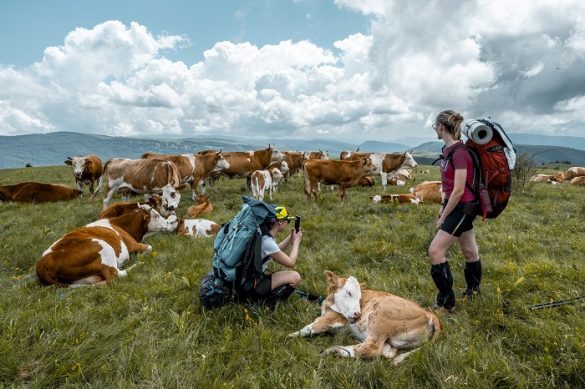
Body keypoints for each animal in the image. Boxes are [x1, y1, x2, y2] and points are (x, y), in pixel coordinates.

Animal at [36, 205, 178, 286]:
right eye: (156, 215)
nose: (169, 222)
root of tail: (42, 262)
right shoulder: (133, 244)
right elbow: (149, 248)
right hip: (104, 248)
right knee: (115, 275)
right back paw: (138, 264)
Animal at [288, 270, 438, 364]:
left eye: (360, 297)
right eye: (348, 292)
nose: (358, 314)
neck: (328, 304)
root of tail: (429, 313)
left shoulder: (334, 318)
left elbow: (309, 327)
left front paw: (289, 336)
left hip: (380, 317)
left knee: (372, 348)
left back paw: (333, 350)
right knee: (387, 352)